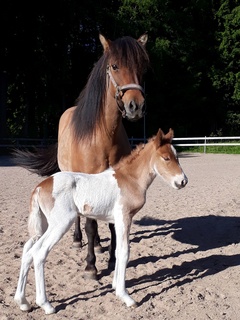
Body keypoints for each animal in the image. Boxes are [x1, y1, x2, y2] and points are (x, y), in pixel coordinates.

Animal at [13, 33, 149, 280]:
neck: (103, 136)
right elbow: (90, 226)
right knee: (79, 217)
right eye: (115, 66)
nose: (136, 106)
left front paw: (112, 258)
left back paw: (97, 245)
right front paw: (91, 266)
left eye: (142, 67)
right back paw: (79, 241)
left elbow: (111, 225)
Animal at [14, 127, 188, 312]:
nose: (183, 181)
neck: (129, 179)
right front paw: (125, 296)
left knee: (27, 249)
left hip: (44, 224)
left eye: (177, 156)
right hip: (61, 223)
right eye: (166, 158)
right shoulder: (124, 217)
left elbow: (117, 251)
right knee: (39, 252)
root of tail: (39, 187)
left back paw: (22, 302)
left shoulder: (117, 221)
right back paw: (46, 304)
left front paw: (115, 286)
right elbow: (124, 252)